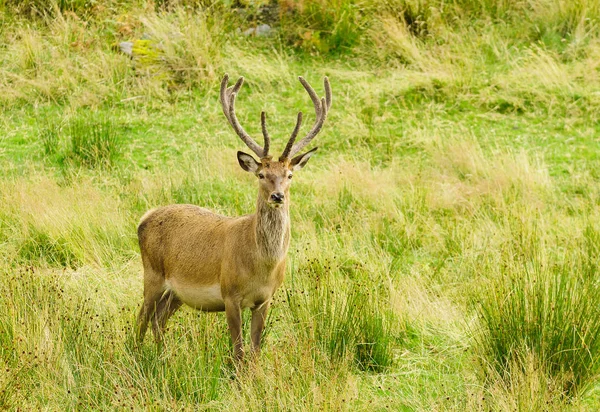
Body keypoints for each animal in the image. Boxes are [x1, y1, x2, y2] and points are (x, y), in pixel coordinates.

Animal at [136, 73, 332, 360]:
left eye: (289, 175)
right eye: (261, 174)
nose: (277, 196)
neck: (262, 266)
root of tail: (144, 219)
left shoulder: (265, 299)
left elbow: (256, 348)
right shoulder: (230, 294)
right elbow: (238, 350)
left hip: (177, 293)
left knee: (158, 319)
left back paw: (164, 357)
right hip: (152, 273)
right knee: (141, 318)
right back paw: (137, 356)